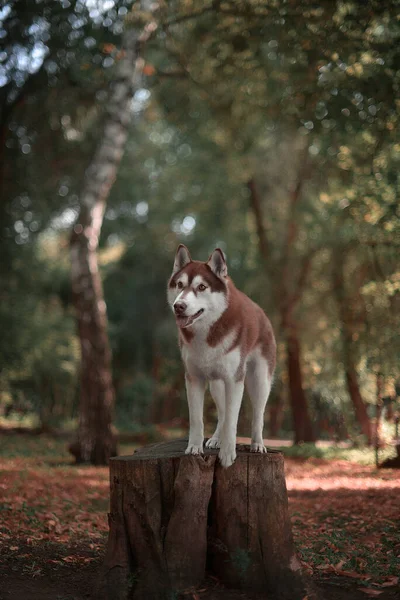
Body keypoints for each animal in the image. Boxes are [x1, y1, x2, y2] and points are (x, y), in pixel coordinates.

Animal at [167, 245, 276, 468]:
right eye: (180, 284)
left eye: (201, 287)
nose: (179, 305)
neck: (207, 332)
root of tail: (261, 312)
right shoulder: (193, 378)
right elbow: (197, 419)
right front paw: (194, 447)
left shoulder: (234, 381)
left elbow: (233, 422)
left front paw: (227, 454)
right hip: (217, 384)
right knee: (223, 413)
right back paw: (216, 438)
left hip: (259, 380)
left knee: (257, 414)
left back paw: (257, 444)